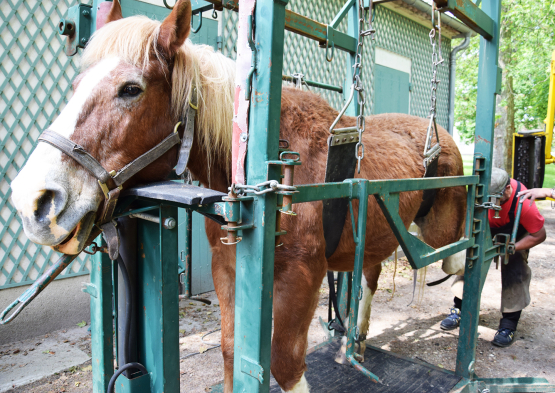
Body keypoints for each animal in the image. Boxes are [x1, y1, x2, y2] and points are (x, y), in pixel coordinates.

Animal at [9, 1, 470, 390]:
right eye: (75, 84)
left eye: (130, 89)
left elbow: (284, 364)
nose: (34, 202)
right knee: (372, 275)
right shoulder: (227, 268)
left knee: (459, 258)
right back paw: (354, 341)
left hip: (441, 229)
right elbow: (233, 353)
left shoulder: (303, 276)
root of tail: (440, 135)